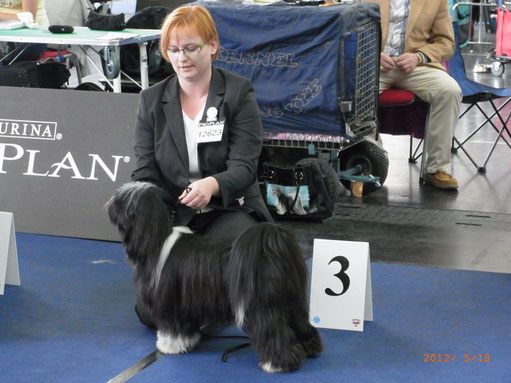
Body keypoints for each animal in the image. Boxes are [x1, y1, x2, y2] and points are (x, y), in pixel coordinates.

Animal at [107, 182, 324, 374]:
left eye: (120, 201)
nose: (109, 202)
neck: (158, 240)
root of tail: (272, 246)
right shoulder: (187, 303)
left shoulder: (170, 302)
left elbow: (172, 328)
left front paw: (169, 345)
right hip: (292, 300)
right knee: (300, 323)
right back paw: (310, 348)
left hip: (263, 306)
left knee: (273, 330)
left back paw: (277, 364)